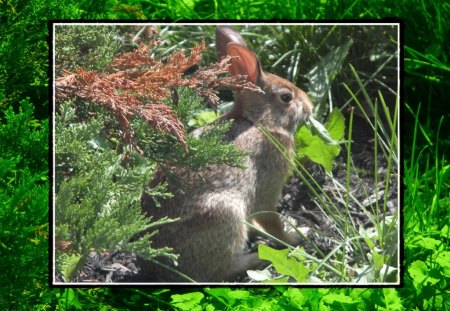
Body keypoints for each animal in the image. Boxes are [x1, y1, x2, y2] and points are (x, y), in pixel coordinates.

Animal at [137, 26, 312, 284]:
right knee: (217, 272)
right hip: (225, 213)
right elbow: (272, 221)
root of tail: (161, 268)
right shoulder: (268, 187)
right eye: (286, 98)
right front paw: (293, 237)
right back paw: (254, 259)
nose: (309, 106)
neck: (256, 121)